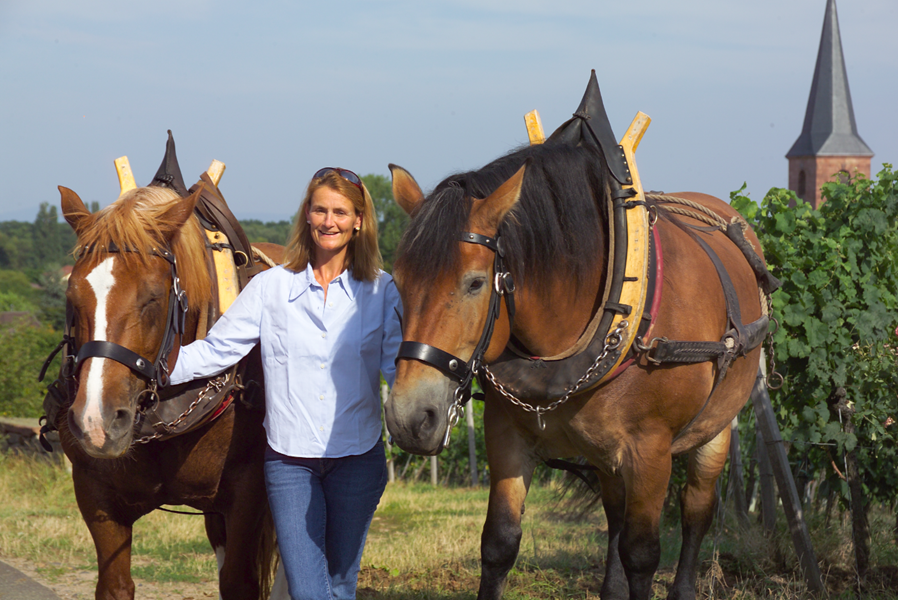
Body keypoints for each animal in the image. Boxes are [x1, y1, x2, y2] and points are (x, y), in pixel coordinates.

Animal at [47, 151, 286, 600]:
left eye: (153, 298)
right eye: (72, 296)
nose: (96, 422)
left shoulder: (249, 492)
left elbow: (241, 581)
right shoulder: (95, 491)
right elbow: (115, 585)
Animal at [384, 119, 768, 596]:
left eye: (475, 283)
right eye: (398, 280)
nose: (409, 418)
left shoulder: (651, 452)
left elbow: (642, 554)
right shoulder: (506, 438)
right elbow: (499, 544)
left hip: (715, 429)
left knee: (697, 507)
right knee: (616, 512)